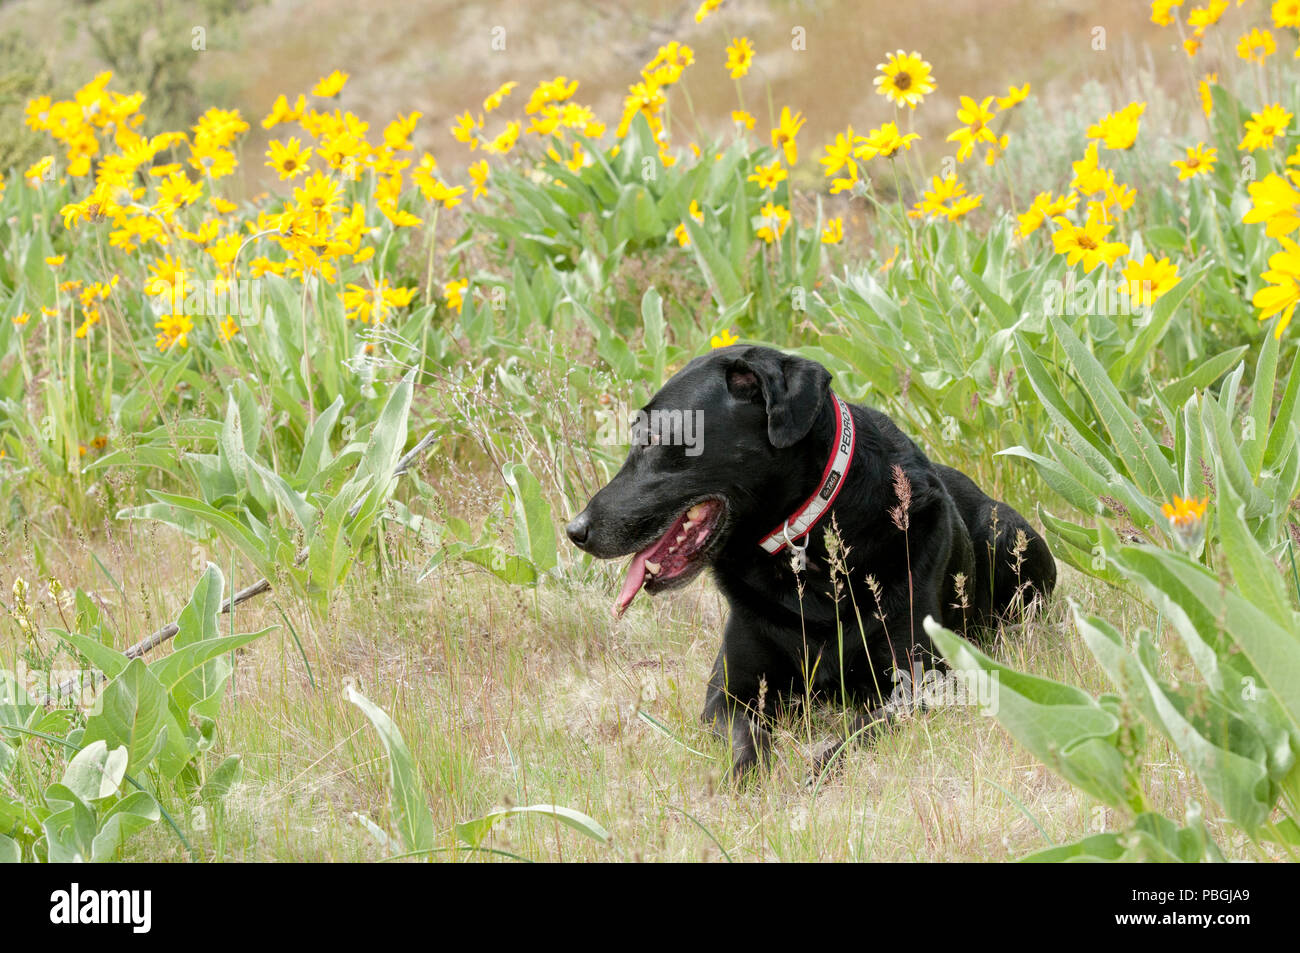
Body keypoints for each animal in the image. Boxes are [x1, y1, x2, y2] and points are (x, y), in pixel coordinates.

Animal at [569, 345, 1055, 774]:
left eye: (655, 439)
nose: (575, 530)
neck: (805, 546)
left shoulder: (922, 682)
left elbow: (862, 729)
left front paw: (820, 768)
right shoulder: (728, 693)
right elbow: (745, 738)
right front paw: (747, 776)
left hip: (1008, 536)